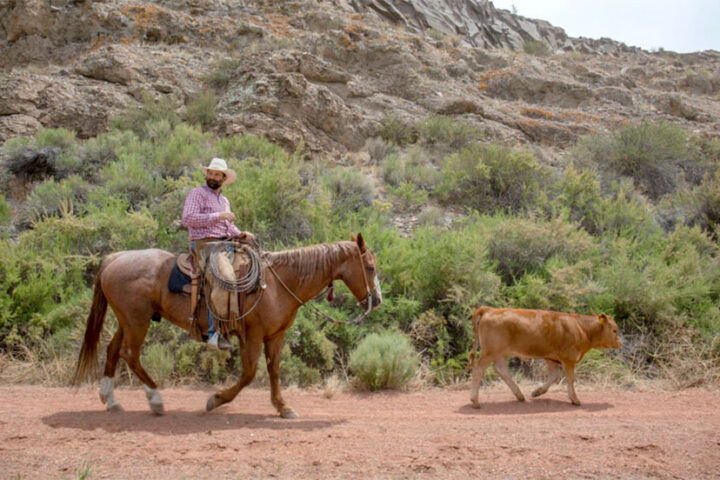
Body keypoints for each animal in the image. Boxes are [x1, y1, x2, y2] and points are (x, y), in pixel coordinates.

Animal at [71, 234, 382, 418]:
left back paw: (111, 400)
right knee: (129, 355)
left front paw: (283, 407)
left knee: (113, 350)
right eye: (370, 267)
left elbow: (274, 371)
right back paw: (155, 399)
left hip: (127, 320)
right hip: (137, 321)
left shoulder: (276, 336)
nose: (377, 300)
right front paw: (216, 399)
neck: (279, 283)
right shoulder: (252, 336)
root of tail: (114, 258)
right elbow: (248, 374)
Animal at [470, 308, 620, 404]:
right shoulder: (569, 359)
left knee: (501, 370)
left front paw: (537, 392)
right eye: (614, 330)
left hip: (500, 353)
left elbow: (554, 376)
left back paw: (520, 395)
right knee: (478, 369)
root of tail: (490, 309)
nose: (620, 342)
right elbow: (570, 379)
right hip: (489, 352)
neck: (581, 327)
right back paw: (475, 400)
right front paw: (575, 399)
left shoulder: (552, 358)